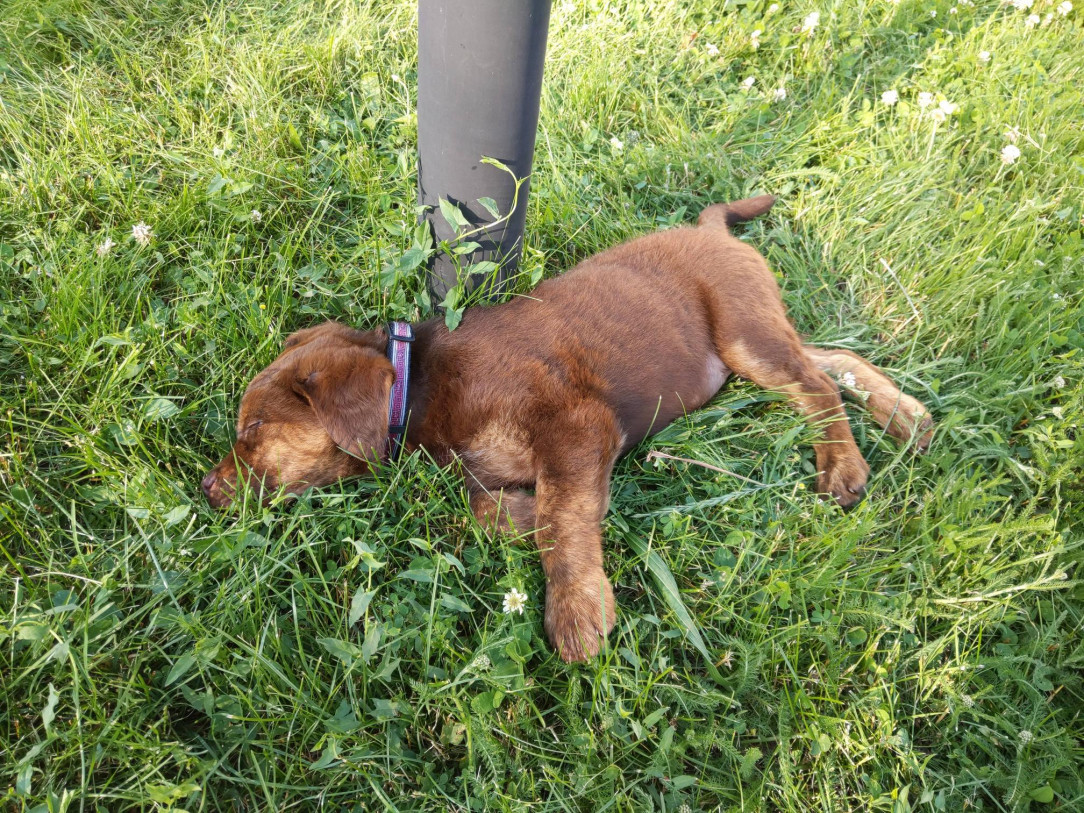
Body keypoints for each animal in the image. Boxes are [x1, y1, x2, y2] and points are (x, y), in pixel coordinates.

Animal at [203, 197, 932, 663]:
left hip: (742, 331)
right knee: (832, 359)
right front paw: (543, 517)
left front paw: (576, 606)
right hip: (751, 343)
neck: (420, 385)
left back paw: (844, 463)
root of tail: (713, 230)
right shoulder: (502, 465)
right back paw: (906, 415)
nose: (209, 488)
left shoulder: (575, 423)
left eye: (255, 427)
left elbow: (562, 511)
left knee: (816, 384)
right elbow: (495, 512)